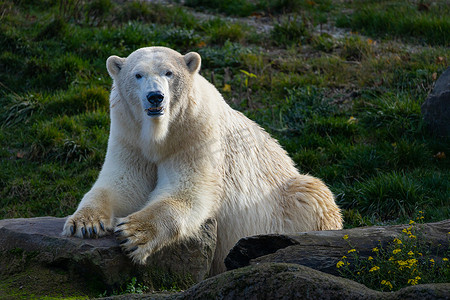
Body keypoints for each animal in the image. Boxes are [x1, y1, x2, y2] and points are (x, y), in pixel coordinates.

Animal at [63, 46, 342, 274]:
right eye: (138, 75)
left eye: (169, 73)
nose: (155, 96)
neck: (160, 134)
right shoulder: (129, 136)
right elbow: (122, 184)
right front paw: (85, 223)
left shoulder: (196, 132)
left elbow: (188, 190)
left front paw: (134, 233)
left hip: (289, 199)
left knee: (312, 193)